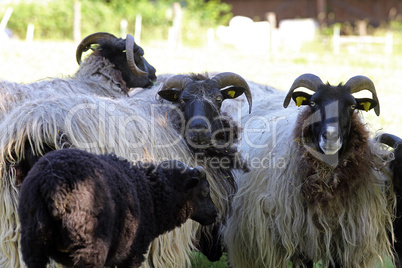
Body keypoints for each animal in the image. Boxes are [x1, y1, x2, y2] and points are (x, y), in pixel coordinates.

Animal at [17, 149, 218, 268]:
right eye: (204, 192)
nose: (215, 215)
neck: (152, 194)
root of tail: (53, 181)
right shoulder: (133, 253)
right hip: (89, 248)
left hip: (33, 244)